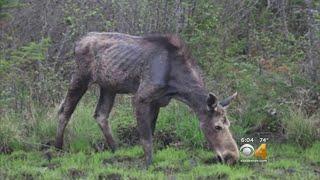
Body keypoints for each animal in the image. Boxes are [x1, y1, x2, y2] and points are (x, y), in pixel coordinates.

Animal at [55, 32, 239, 166]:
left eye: (229, 124)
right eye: (217, 126)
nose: (232, 157)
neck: (177, 88)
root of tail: (77, 43)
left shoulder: (157, 101)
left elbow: (151, 131)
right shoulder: (140, 97)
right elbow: (146, 137)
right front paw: (148, 164)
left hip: (108, 86)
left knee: (100, 114)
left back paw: (116, 149)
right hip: (81, 77)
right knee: (64, 111)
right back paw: (57, 148)